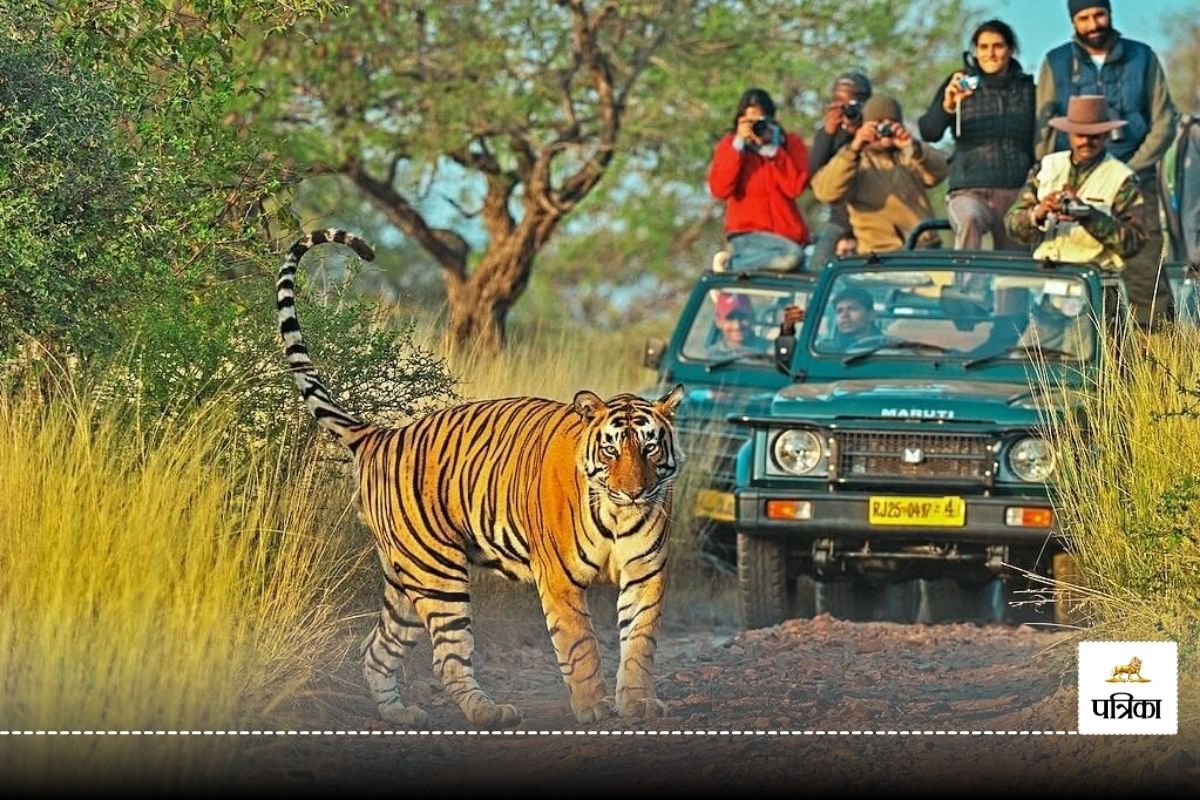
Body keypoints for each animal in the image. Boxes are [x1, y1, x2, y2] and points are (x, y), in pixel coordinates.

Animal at [276, 229, 685, 727]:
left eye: (649, 447)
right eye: (611, 449)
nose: (634, 491)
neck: (616, 513)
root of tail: (382, 434)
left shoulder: (646, 572)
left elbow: (640, 642)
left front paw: (638, 702)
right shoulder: (560, 580)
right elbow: (581, 646)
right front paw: (592, 706)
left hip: (404, 579)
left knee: (377, 649)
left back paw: (400, 714)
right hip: (437, 571)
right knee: (447, 655)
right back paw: (488, 711)